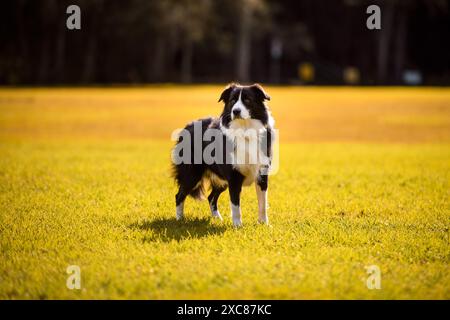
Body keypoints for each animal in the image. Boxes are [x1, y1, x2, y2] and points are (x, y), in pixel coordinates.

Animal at [171, 84, 274, 226]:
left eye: (247, 100)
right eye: (232, 100)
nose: (236, 111)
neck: (245, 130)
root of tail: (188, 125)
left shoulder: (262, 174)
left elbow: (263, 203)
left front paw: (264, 224)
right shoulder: (234, 177)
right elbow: (236, 205)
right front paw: (238, 225)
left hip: (221, 180)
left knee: (210, 197)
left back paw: (217, 218)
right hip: (192, 175)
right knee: (179, 195)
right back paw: (179, 219)